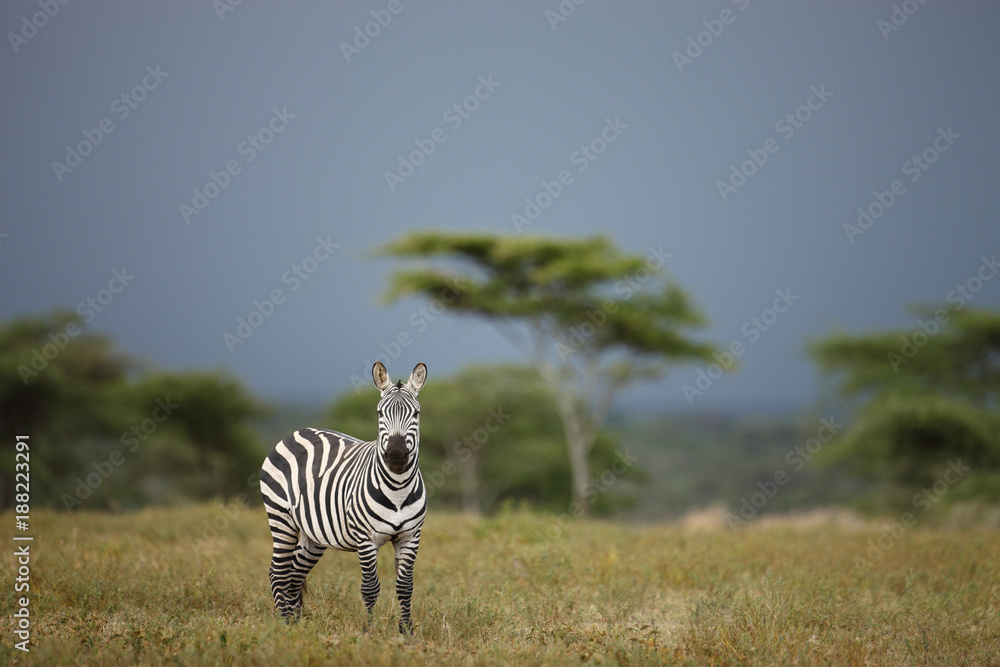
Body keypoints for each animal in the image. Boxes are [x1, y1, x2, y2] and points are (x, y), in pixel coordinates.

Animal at [259, 361, 427, 633]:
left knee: (294, 575)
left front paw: (406, 632)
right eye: (380, 414)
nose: (396, 457)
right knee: (279, 572)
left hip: (314, 534)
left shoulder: (410, 536)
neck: (398, 490)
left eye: (416, 414)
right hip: (280, 517)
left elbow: (405, 587)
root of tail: (297, 431)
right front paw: (369, 632)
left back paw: (297, 625)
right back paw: (285, 625)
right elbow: (370, 588)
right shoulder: (365, 538)